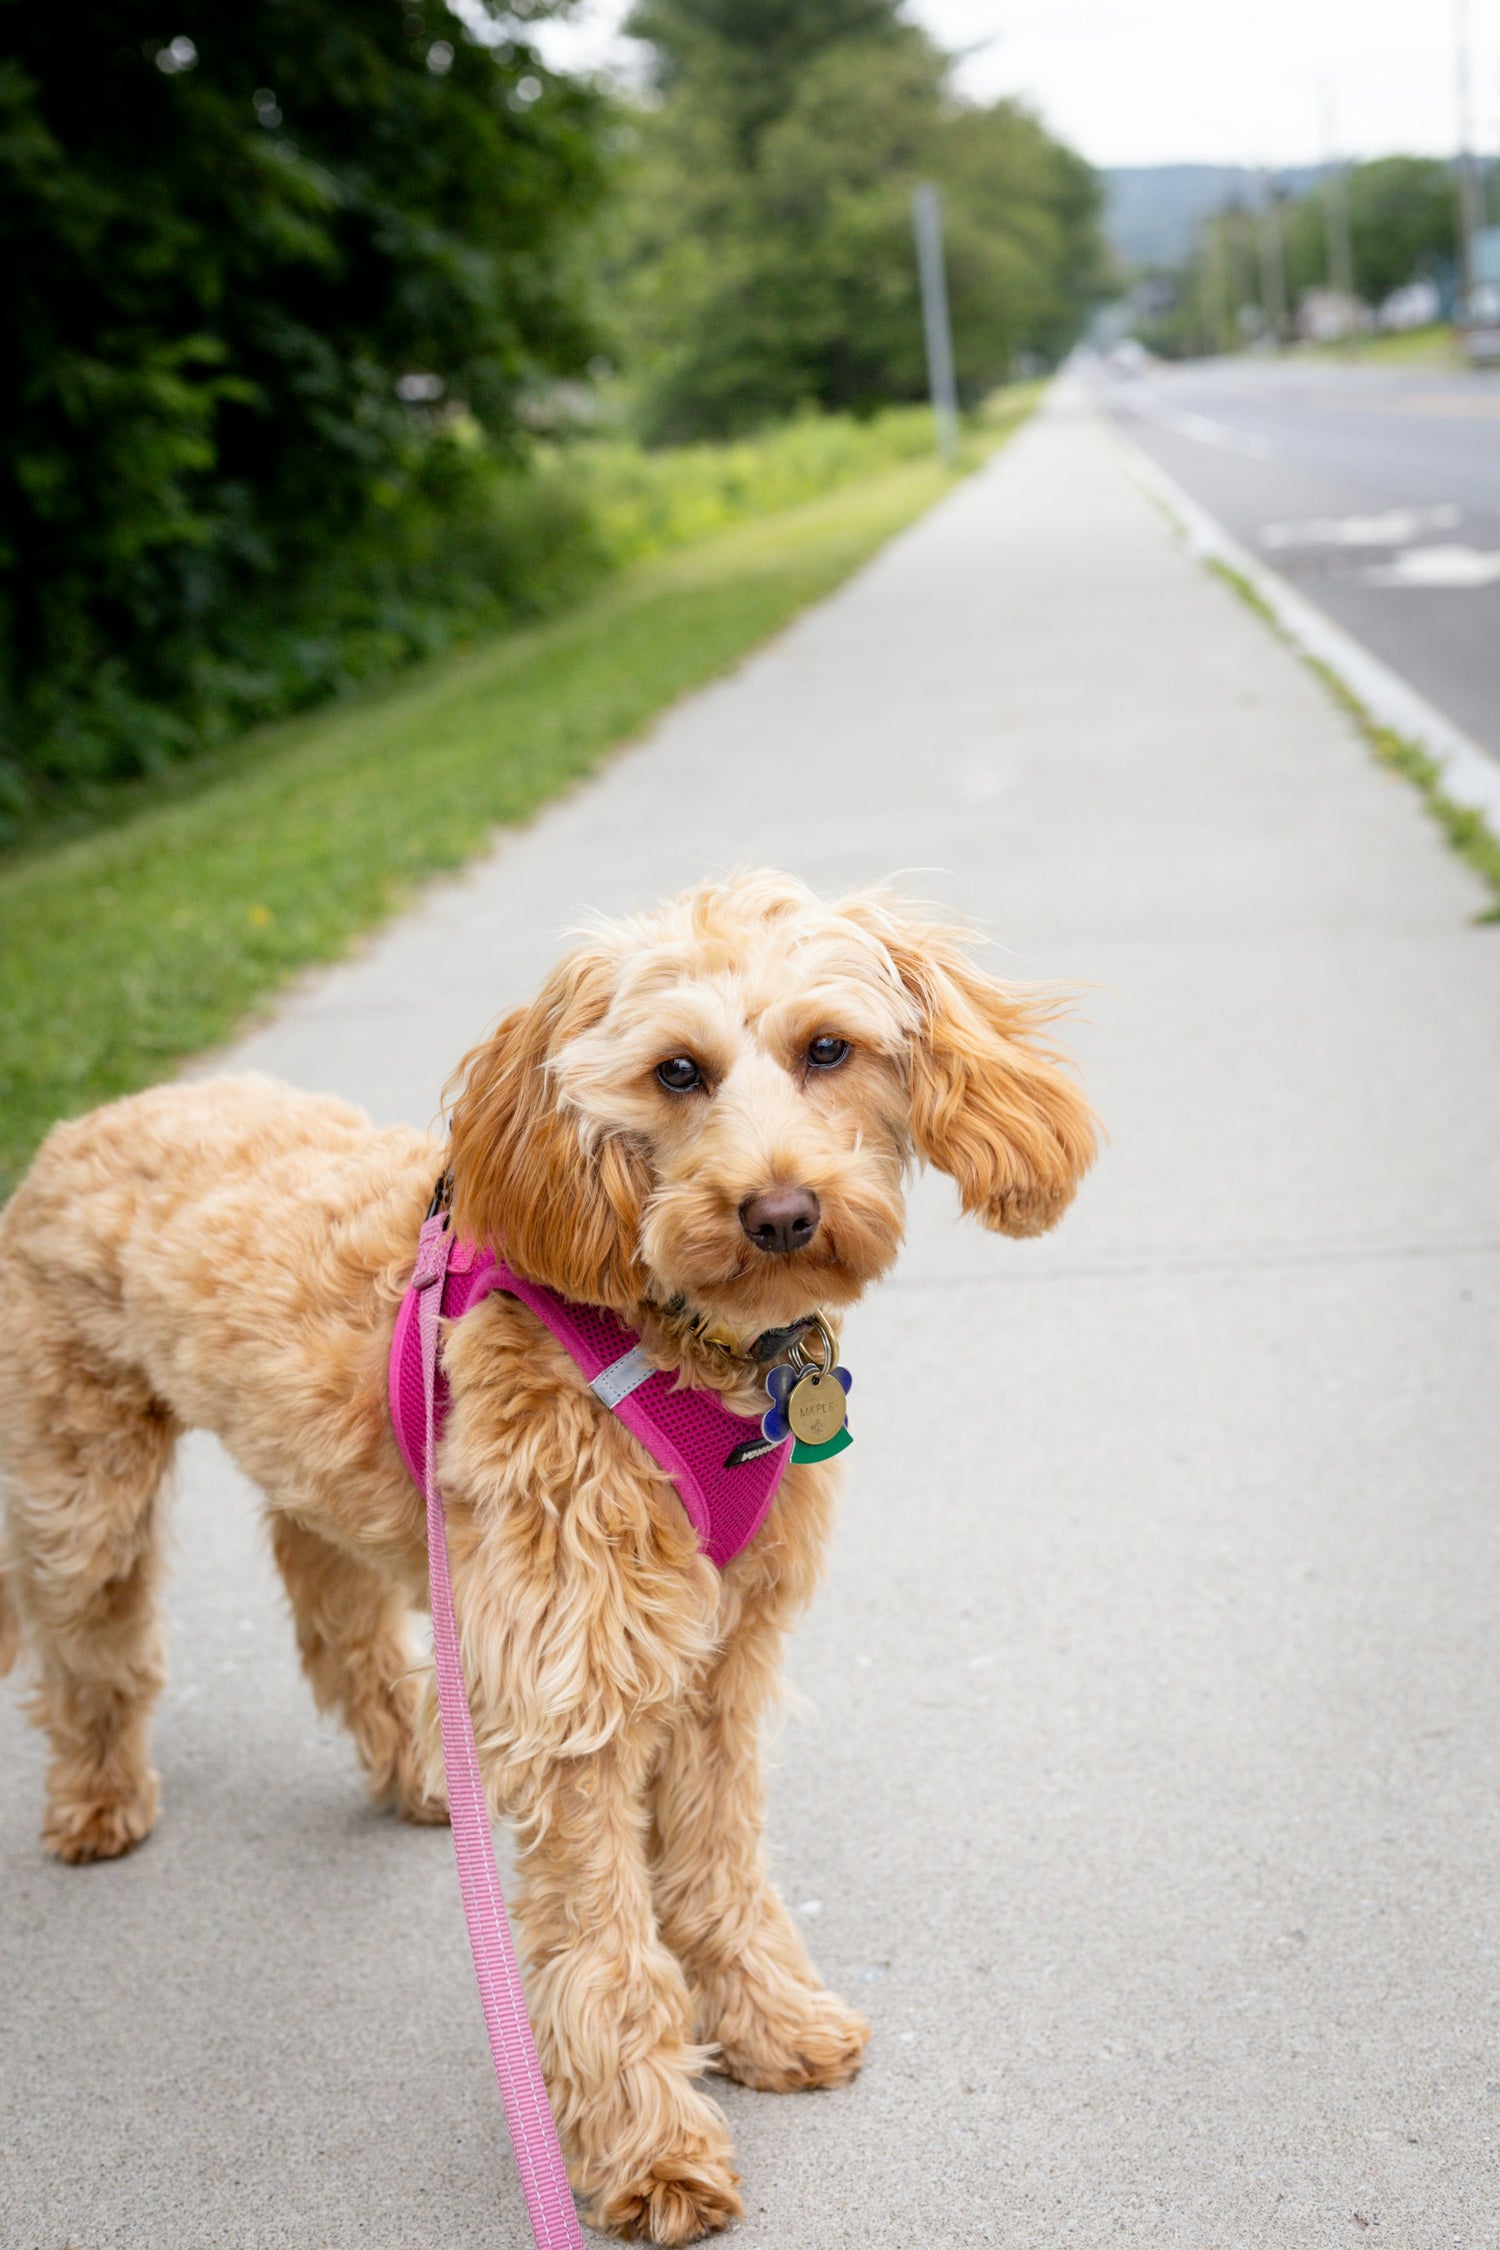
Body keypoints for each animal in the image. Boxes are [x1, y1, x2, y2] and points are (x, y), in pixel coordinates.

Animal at [5, 868, 1097, 2241]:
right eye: (678, 1071)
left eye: (828, 1050)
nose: (781, 1213)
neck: (672, 1345)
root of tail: (91, 1115)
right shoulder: (577, 1697)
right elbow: (603, 1949)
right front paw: (653, 2154)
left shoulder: (719, 1670)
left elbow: (718, 1869)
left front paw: (768, 2025)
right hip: (81, 1489)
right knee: (88, 1646)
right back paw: (99, 1801)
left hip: (331, 1485)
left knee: (334, 1620)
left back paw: (424, 1771)